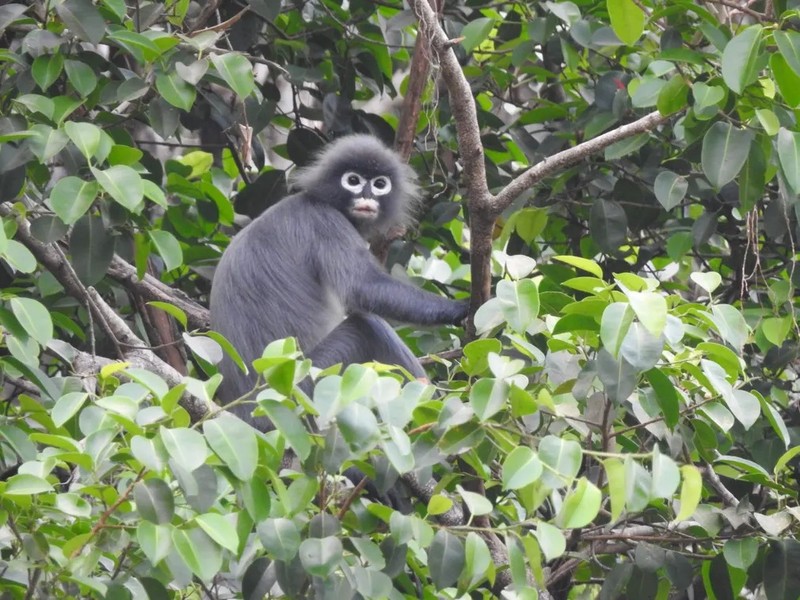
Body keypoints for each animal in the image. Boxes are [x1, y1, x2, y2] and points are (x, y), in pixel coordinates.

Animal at [209, 132, 468, 432]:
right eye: (353, 180)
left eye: (380, 184)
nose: (366, 196)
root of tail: (246, 412)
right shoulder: (326, 221)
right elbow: (364, 287)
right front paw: (463, 308)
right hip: (308, 389)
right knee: (368, 325)